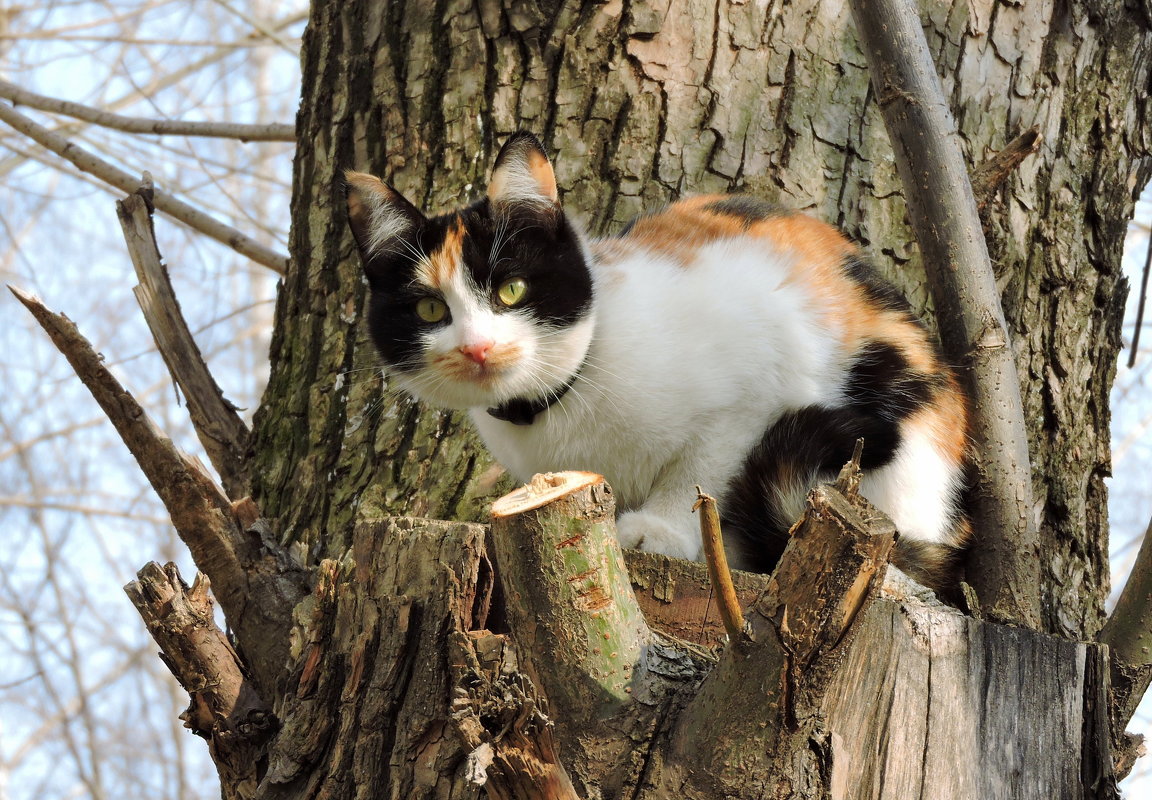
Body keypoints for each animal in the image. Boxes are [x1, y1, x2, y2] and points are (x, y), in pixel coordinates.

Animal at [343, 133, 972, 590]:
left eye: (512, 291)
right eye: (429, 308)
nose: (476, 346)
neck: (563, 401)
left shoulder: (757, 382)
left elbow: (701, 472)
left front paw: (660, 528)